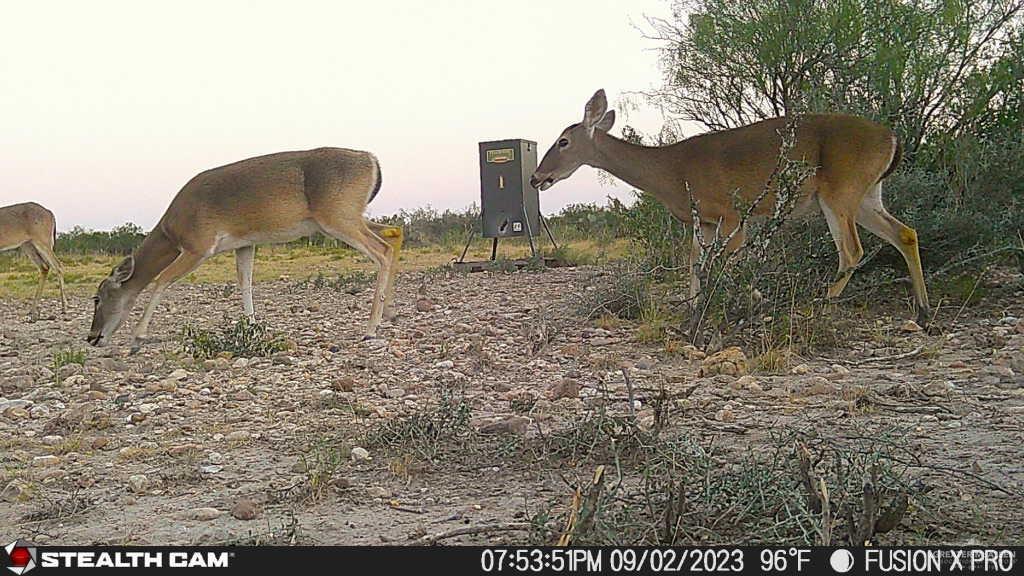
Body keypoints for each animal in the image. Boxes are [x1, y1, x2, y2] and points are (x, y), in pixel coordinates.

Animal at [86, 145, 403, 348]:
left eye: (98, 297)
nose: (91, 337)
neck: (170, 228)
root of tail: (372, 161)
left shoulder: (199, 245)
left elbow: (162, 279)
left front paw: (138, 335)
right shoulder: (244, 244)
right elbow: (245, 282)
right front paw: (251, 327)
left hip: (338, 217)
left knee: (381, 251)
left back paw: (370, 328)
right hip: (345, 217)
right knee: (394, 233)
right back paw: (389, 313)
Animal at [532, 88, 933, 323]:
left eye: (564, 141)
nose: (537, 177)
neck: (670, 171)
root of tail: (892, 138)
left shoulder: (733, 214)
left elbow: (725, 264)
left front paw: (752, 300)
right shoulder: (706, 220)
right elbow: (695, 264)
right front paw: (694, 308)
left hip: (840, 191)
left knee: (852, 250)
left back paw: (815, 304)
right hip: (867, 194)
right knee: (905, 233)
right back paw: (923, 310)